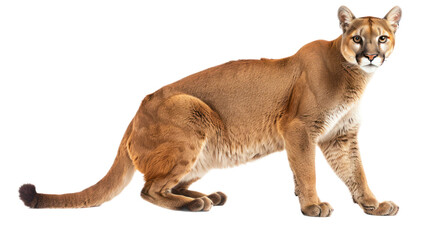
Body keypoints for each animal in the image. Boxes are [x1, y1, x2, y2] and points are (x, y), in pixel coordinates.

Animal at [20, 5, 402, 217]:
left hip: (205, 153)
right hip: (190, 112)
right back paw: (196, 204)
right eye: (357, 38)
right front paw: (311, 206)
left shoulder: (340, 136)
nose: (370, 55)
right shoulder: (299, 128)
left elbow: (356, 172)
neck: (353, 75)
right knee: (149, 190)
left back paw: (208, 195)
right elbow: (307, 171)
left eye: (382, 37)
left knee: (166, 184)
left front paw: (373, 204)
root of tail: (133, 117)